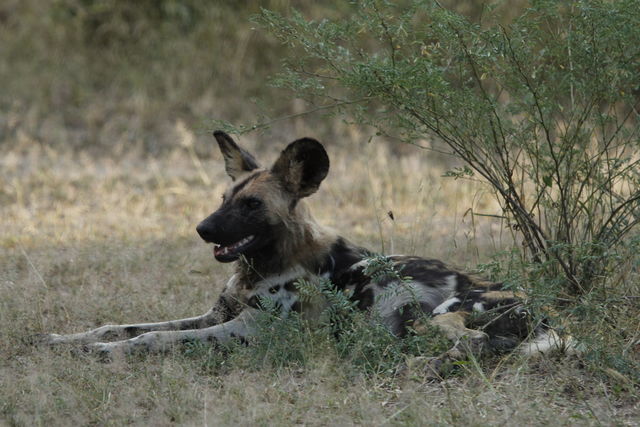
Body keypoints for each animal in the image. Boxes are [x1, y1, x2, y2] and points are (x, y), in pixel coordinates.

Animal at [41, 130, 568, 362]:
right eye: (224, 199)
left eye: (252, 204)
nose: (202, 229)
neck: (262, 266)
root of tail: (547, 307)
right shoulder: (215, 316)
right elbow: (124, 325)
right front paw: (68, 340)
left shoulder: (249, 331)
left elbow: (151, 338)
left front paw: (106, 353)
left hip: (440, 315)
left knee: (473, 345)